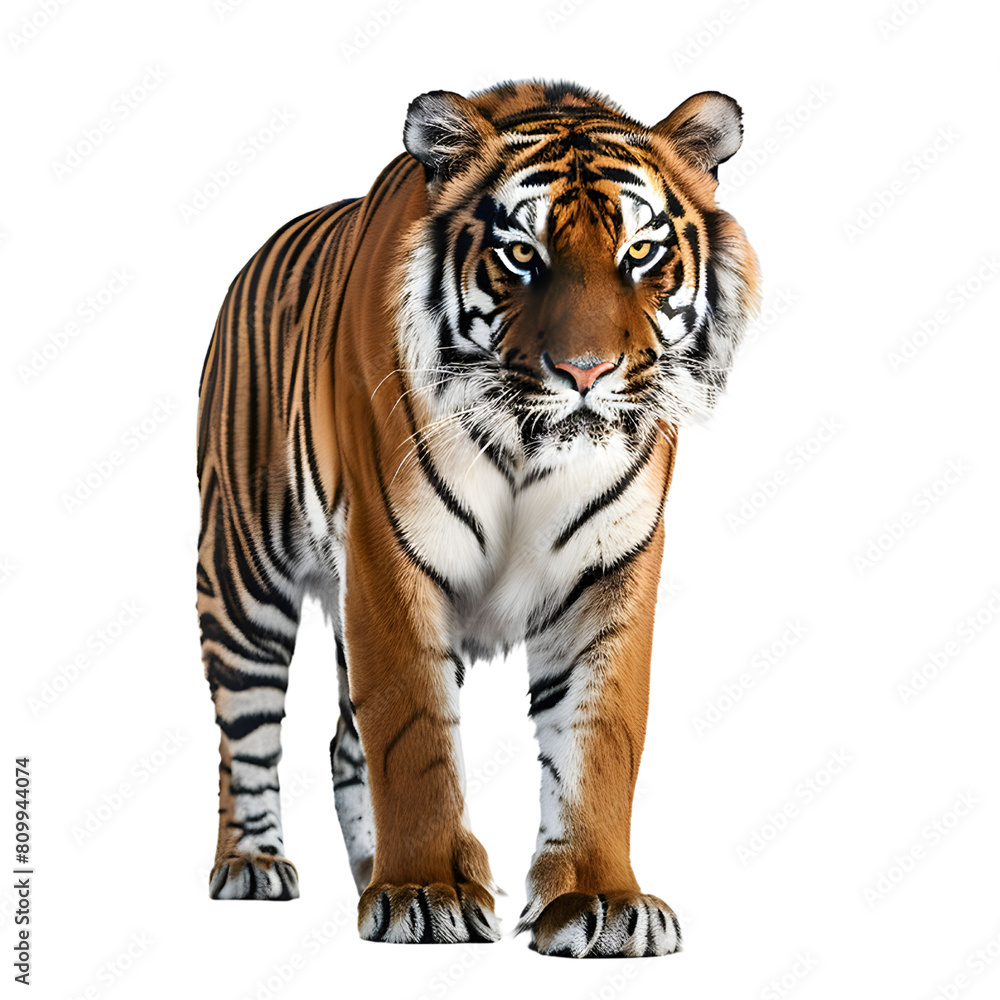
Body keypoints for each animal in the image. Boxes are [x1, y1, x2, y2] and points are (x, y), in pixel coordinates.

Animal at [196, 79, 759, 957]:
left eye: (639, 253)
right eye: (523, 255)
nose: (586, 372)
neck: (533, 452)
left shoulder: (610, 571)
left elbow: (601, 738)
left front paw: (603, 901)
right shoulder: (388, 557)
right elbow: (413, 734)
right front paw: (425, 891)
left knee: (342, 742)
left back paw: (367, 870)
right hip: (242, 576)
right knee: (246, 731)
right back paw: (254, 866)